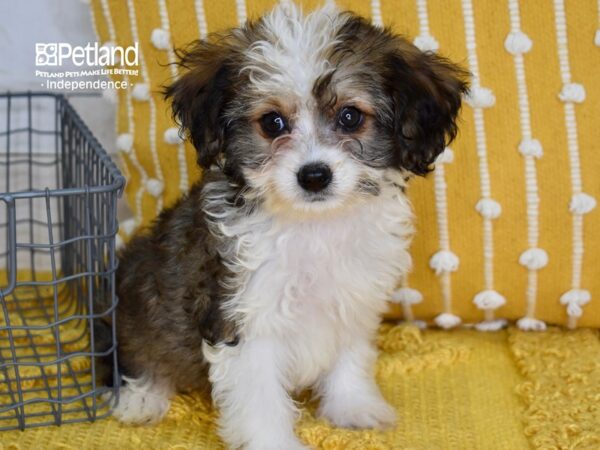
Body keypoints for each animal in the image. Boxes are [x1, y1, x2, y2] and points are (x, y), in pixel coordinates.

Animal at [112, 1, 468, 448]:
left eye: (350, 116)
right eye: (272, 123)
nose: (314, 175)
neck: (314, 226)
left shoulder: (353, 297)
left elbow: (350, 358)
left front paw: (353, 406)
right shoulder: (243, 317)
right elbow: (260, 396)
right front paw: (273, 441)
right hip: (135, 291)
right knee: (136, 352)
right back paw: (143, 397)